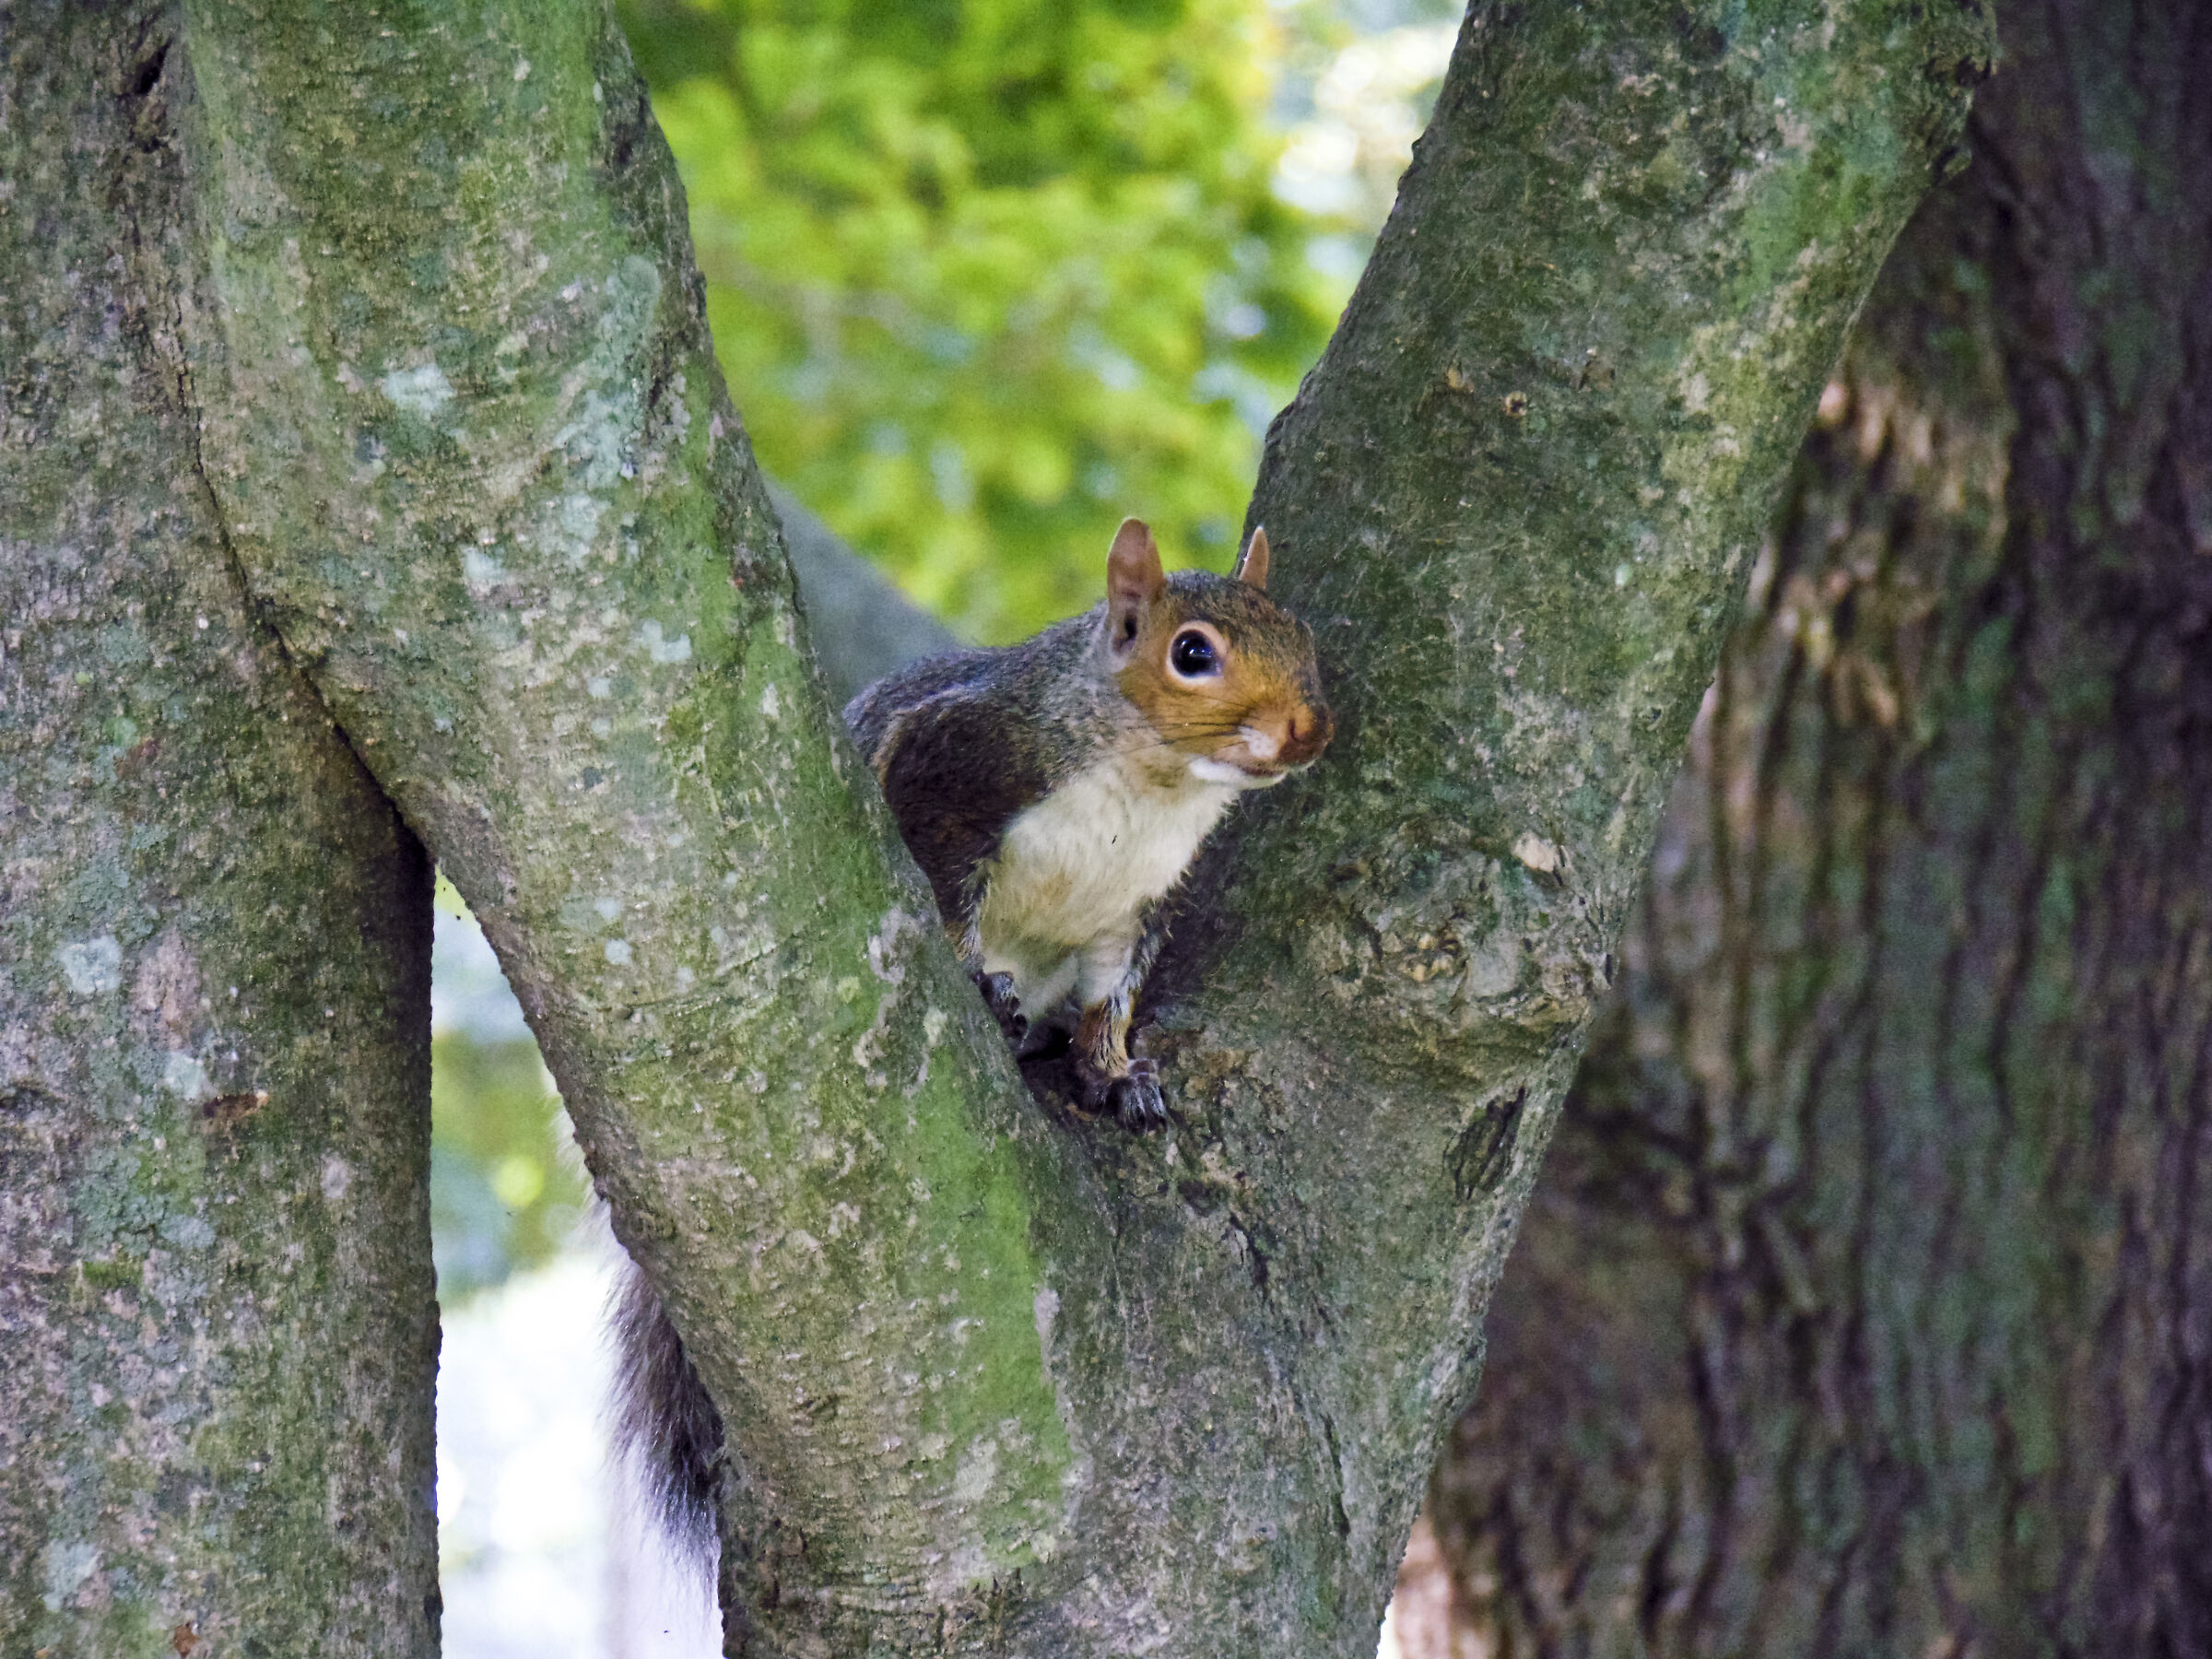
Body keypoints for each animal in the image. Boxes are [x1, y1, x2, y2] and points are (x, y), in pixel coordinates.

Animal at [614, 516, 1333, 1564]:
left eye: (1301, 633)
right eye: (1192, 654)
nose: (1307, 731)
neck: (1152, 784)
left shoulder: (1136, 907)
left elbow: (1113, 996)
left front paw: (1116, 1073)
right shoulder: (959, 765)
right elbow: (946, 891)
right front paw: (978, 982)